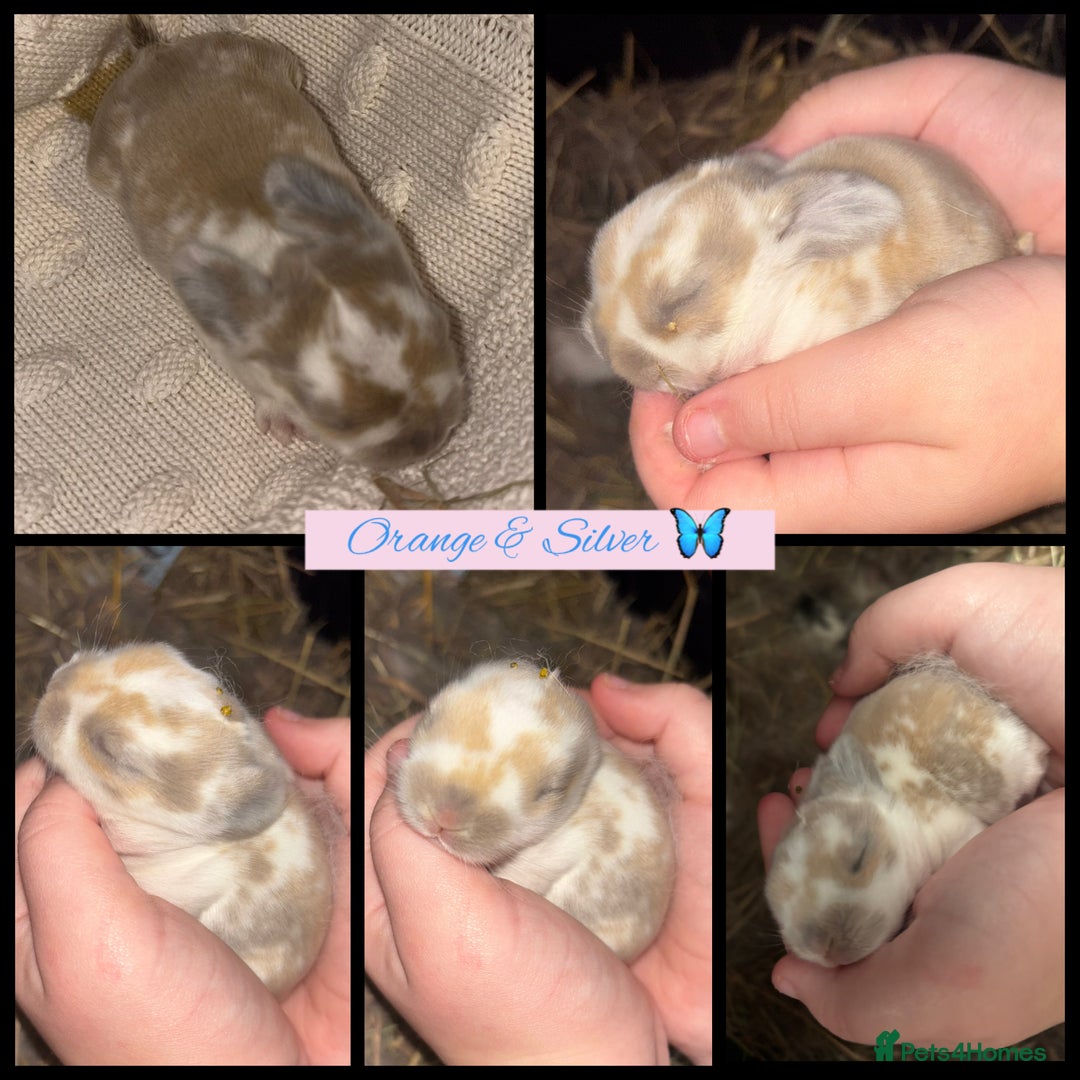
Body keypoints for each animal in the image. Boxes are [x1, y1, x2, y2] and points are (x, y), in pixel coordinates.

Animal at [86, 15, 464, 469]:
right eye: (334, 420)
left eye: (441, 326)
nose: (431, 441)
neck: (288, 253)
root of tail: (156, 56)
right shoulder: (229, 350)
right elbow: (263, 390)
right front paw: (282, 422)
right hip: (103, 152)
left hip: (263, 56)